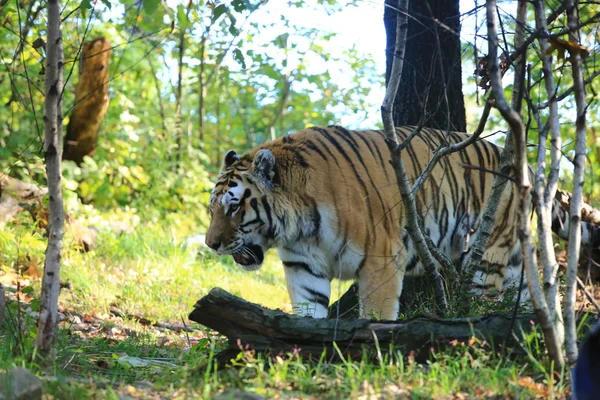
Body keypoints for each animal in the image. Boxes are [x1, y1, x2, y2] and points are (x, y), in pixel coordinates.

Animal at [204, 126, 596, 320]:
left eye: (234, 206)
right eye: (211, 210)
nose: (211, 244)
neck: (300, 227)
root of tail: (521, 164)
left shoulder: (380, 260)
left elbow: (376, 316)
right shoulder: (303, 266)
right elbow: (307, 311)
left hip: (488, 254)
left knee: (486, 297)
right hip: (514, 259)